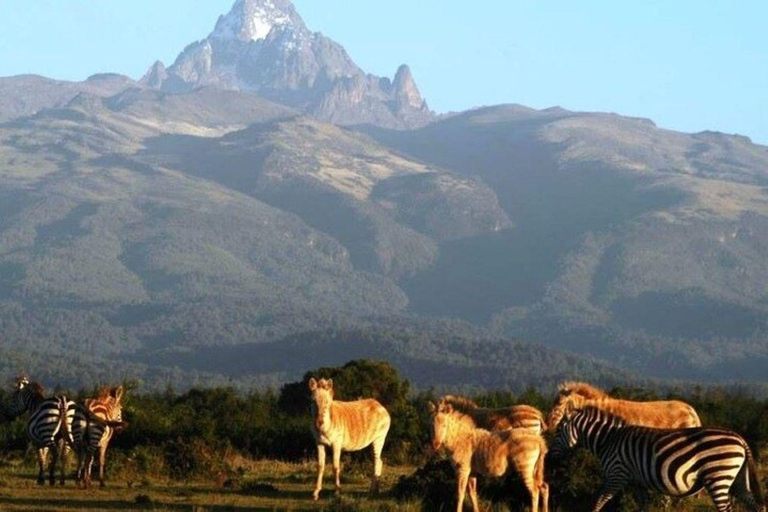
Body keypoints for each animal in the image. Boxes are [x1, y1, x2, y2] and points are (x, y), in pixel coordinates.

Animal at [548, 406, 764, 510]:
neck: (608, 439)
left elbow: (598, 502)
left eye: (558, 431)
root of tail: (740, 438)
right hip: (736, 480)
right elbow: (642, 506)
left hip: (718, 476)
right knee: (754, 505)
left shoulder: (616, 474)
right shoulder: (638, 482)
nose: (549, 458)